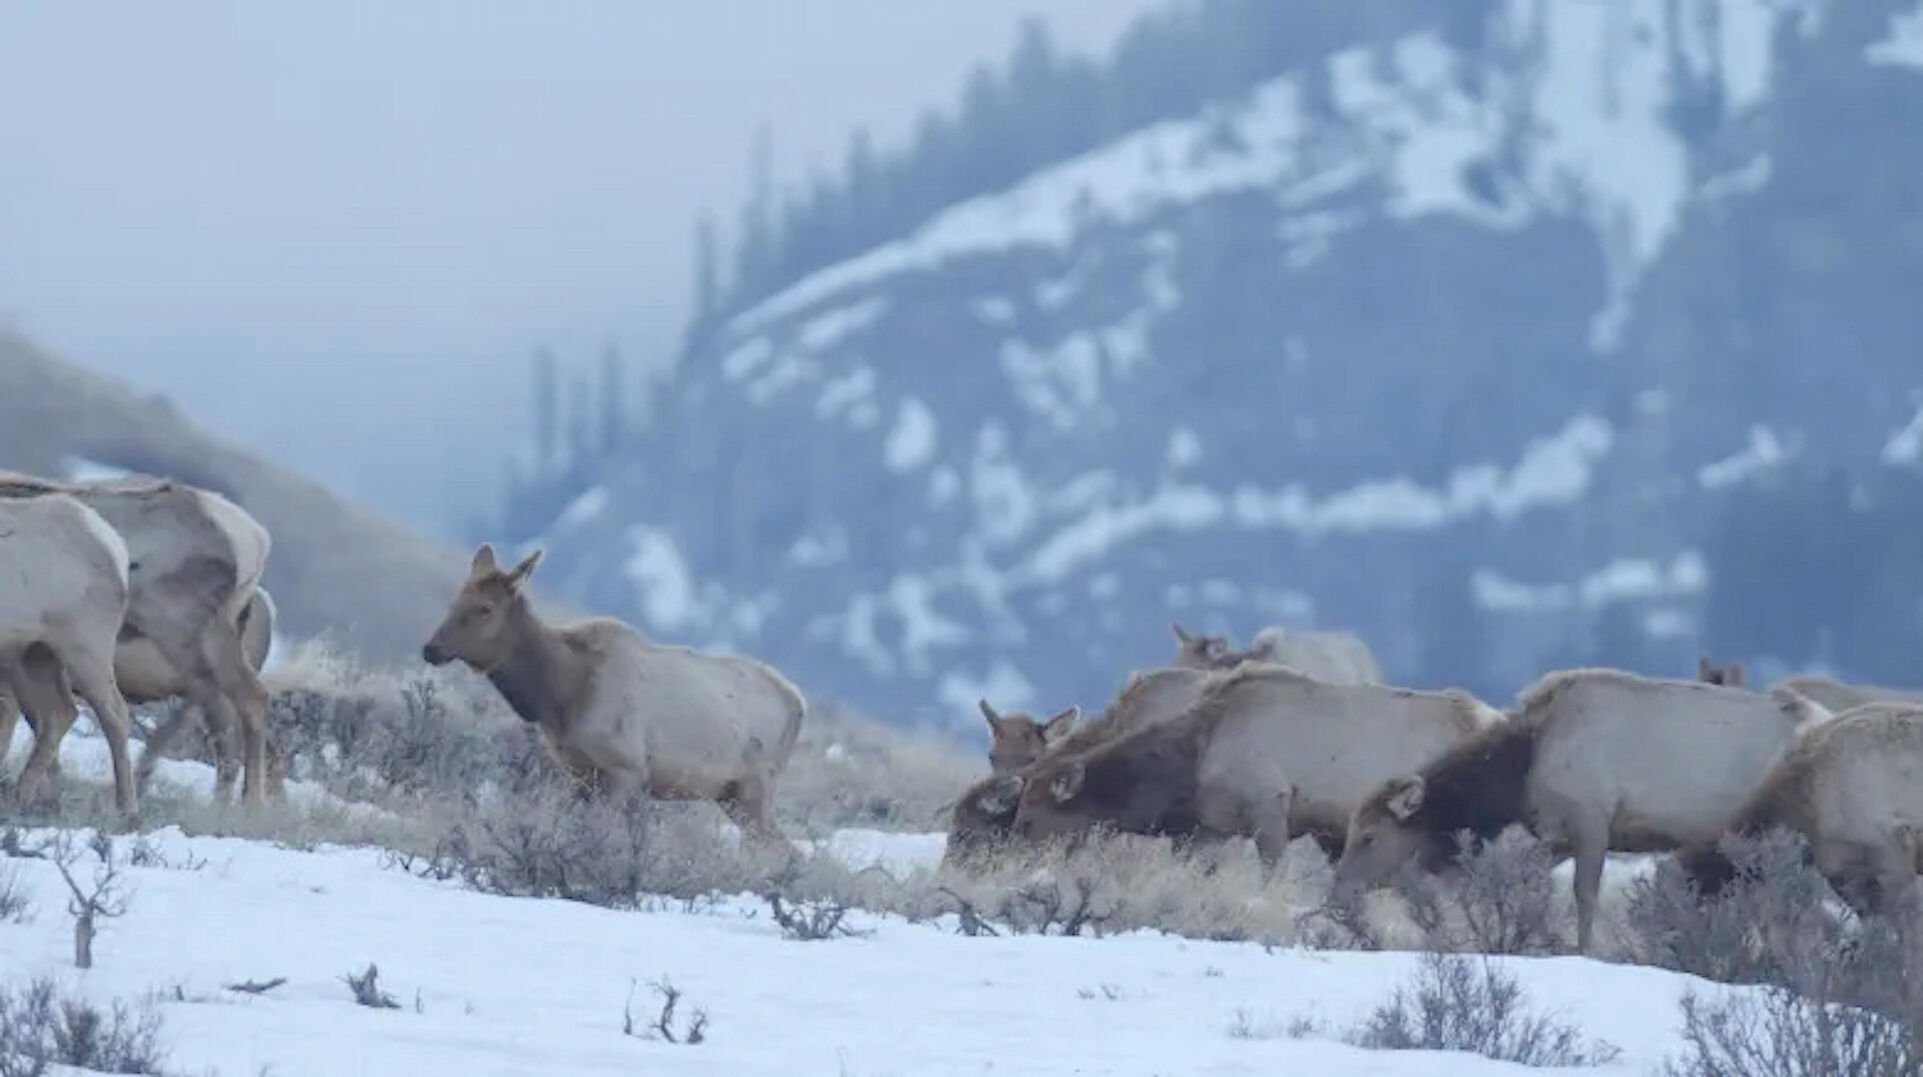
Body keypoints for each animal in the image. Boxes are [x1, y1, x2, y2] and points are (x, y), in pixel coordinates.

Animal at [0, 492, 140, 811]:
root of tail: (117, 548)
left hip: (86, 649)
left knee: (114, 713)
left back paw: (126, 807)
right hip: (37, 655)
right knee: (59, 713)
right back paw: (24, 796)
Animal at [421, 546, 803, 842]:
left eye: (485, 608)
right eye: (455, 600)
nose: (431, 649)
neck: (560, 696)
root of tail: (799, 703)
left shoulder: (625, 767)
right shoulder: (580, 773)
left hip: (755, 788)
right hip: (731, 795)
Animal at [1330, 669, 1823, 953]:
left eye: (1370, 836)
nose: (1337, 894)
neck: (1519, 774)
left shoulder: (1592, 818)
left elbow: (1585, 898)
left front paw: (1583, 949)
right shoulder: (1554, 835)